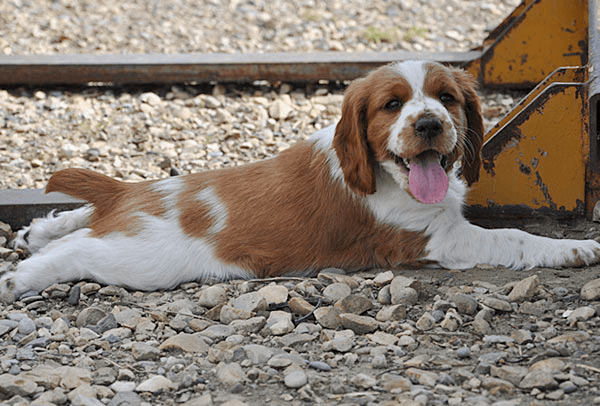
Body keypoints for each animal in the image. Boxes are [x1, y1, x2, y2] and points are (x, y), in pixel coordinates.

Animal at [1, 59, 600, 302]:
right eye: (392, 105)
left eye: (447, 98)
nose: (430, 124)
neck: (384, 174)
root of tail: (130, 193)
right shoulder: (434, 238)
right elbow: (514, 237)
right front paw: (578, 249)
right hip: (143, 259)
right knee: (79, 250)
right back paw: (20, 278)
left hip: (123, 222)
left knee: (77, 221)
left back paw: (38, 232)